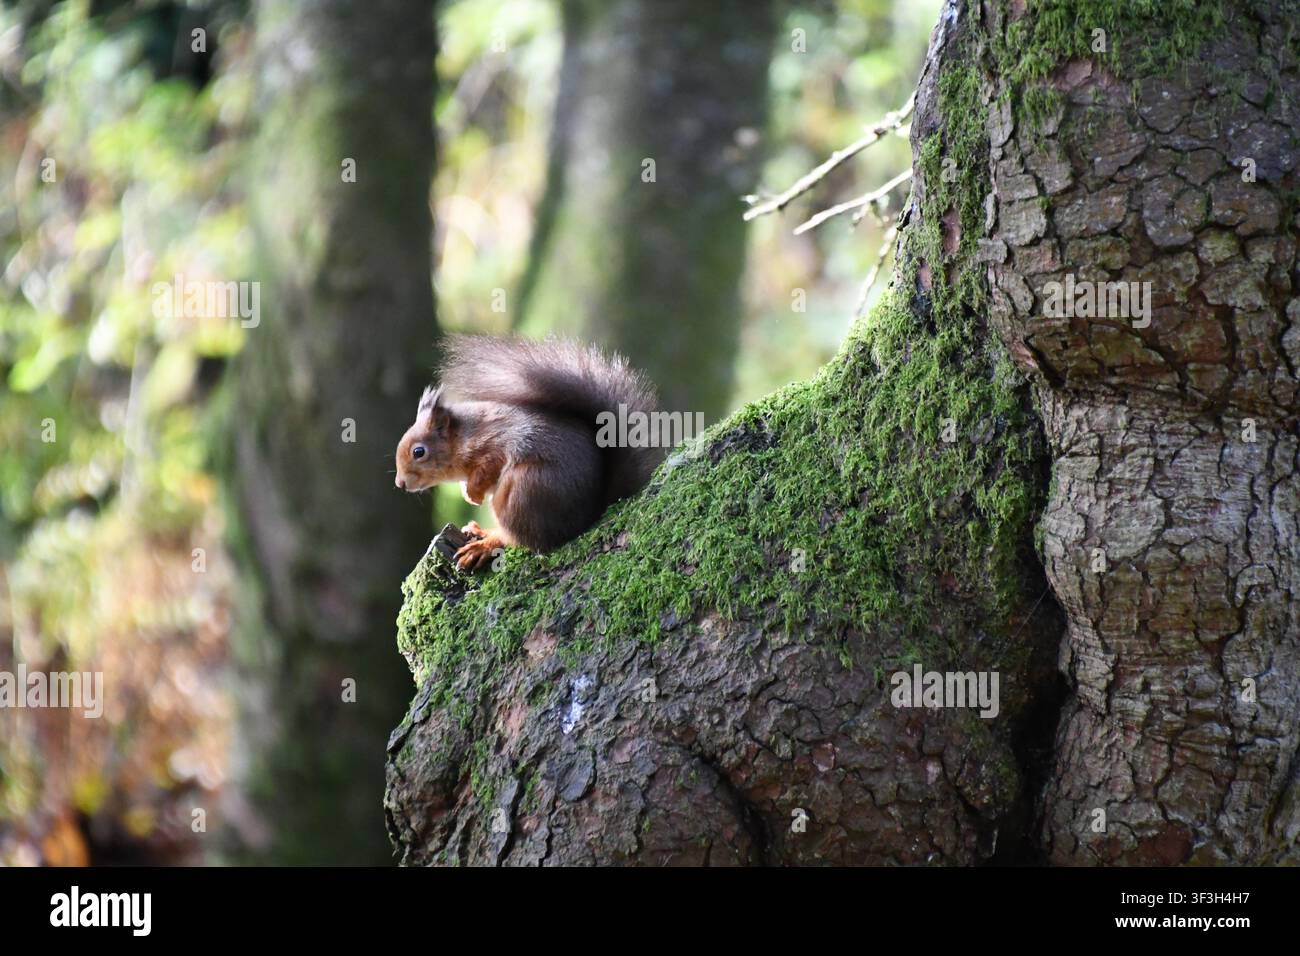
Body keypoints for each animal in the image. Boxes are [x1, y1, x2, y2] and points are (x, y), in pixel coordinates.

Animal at [395, 334, 664, 570]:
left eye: (419, 451)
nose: (400, 483)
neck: (462, 437)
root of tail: (591, 512)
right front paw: (466, 491)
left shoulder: (495, 443)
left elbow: (488, 466)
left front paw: (473, 494)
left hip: (523, 491)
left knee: (520, 539)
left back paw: (484, 544)